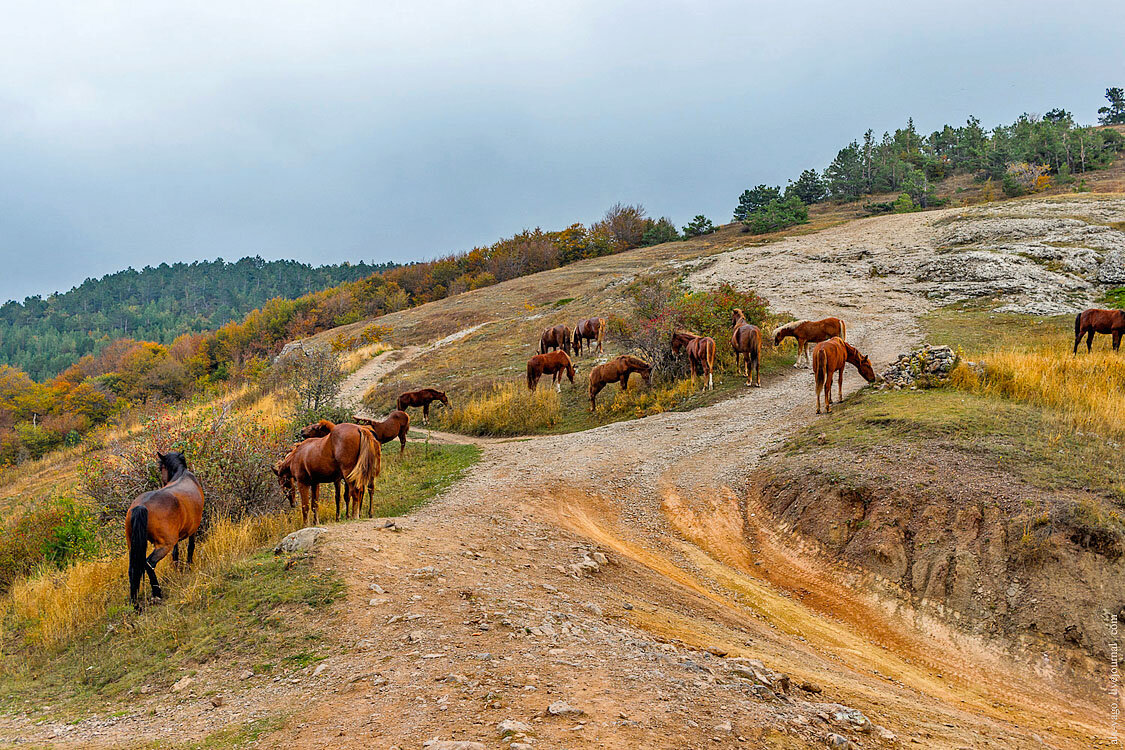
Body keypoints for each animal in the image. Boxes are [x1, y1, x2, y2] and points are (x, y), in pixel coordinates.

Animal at [127, 452, 204, 611]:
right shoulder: (193, 530)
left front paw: (176, 568)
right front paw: (188, 566)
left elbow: (176, 552)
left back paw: (134, 603)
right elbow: (190, 547)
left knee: (133, 570)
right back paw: (157, 593)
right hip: (163, 546)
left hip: (133, 547)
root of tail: (141, 506)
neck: (182, 474)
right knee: (149, 563)